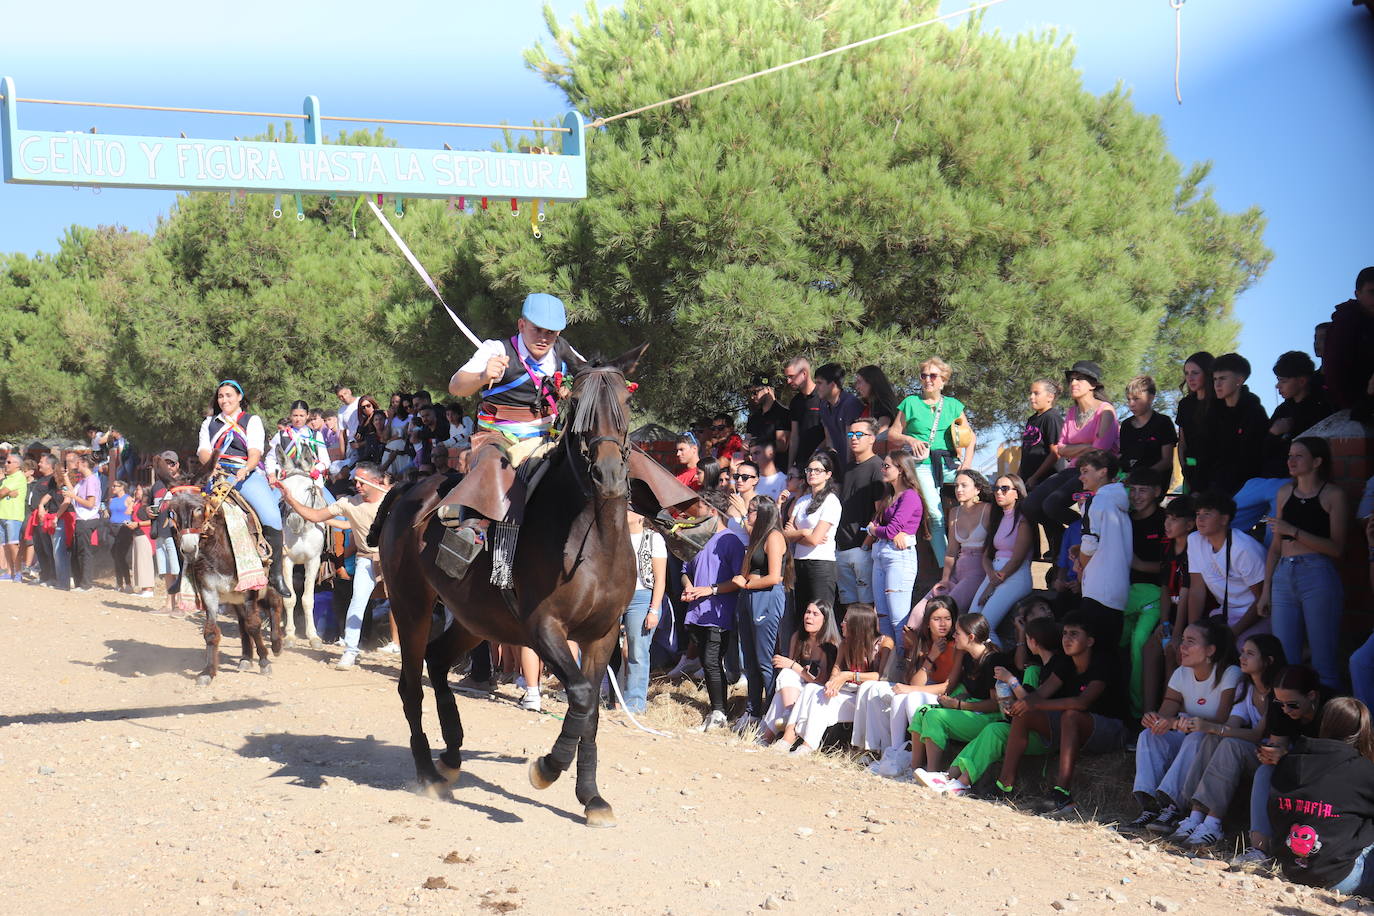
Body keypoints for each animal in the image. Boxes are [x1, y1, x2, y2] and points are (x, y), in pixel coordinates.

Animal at [156, 455, 284, 683]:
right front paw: (208, 672)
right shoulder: (209, 591)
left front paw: (264, 661)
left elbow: (254, 624)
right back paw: (245, 657)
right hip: (234, 596)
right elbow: (211, 631)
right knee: (242, 621)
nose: (188, 549)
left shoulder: (250, 588)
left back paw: (276, 645)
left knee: (275, 602)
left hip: (267, 580)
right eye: (172, 511)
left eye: (199, 508)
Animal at [373, 347, 645, 829]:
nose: (609, 475)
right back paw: (428, 772)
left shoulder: (602, 635)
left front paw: (592, 797)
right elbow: (579, 696)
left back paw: (452, 752)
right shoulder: (544, 628)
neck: (594, 541)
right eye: (580, 410)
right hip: (412, 605)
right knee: (411, 685)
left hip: (475, 619)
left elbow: (591, 711)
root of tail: (408, 489)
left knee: (437, 661)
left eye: (625, 406)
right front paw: (548, 768)